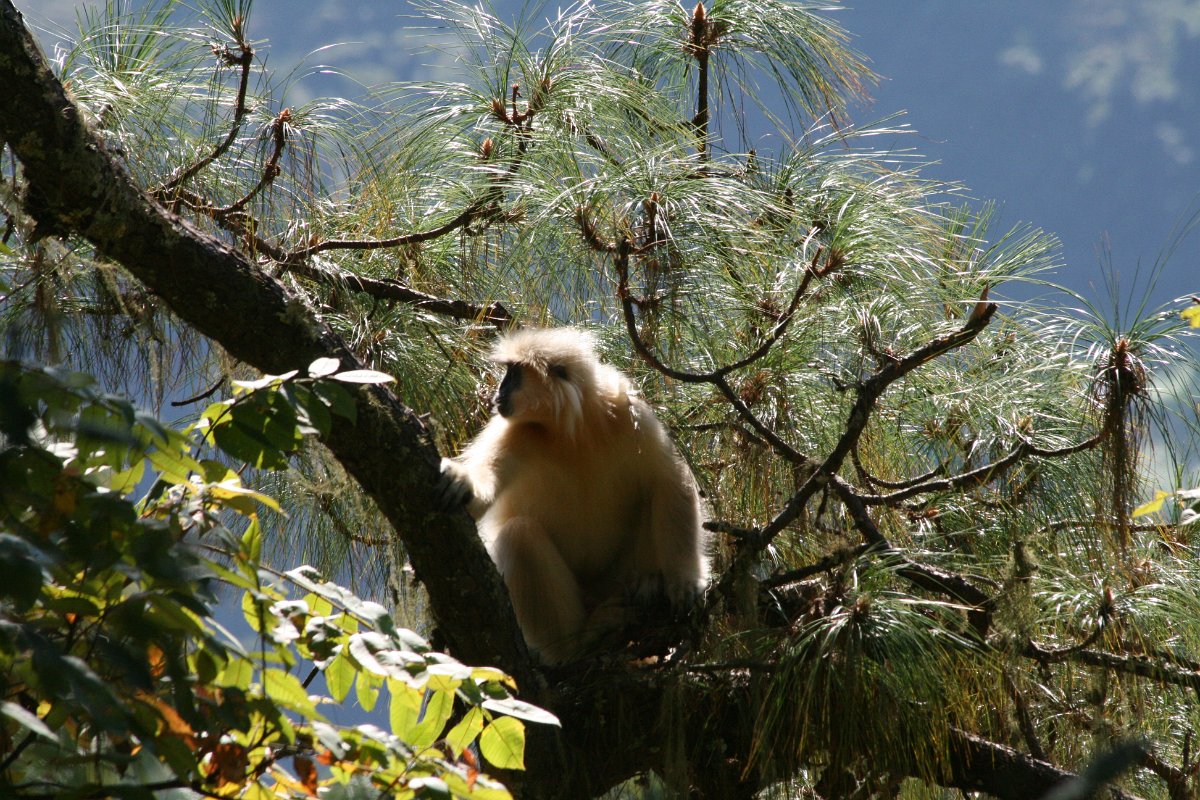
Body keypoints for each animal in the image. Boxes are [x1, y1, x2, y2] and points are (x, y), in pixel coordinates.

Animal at [439, 326, 705, 662]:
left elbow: (671, 480)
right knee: (520, 533)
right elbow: (482, 491)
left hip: (615, 576)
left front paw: (684, 580)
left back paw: (648, 583)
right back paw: (579, 643)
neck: (570, 435)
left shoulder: (631, 416)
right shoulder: (515, 433)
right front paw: (463, 481)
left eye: (512, 374)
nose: (497, 393)